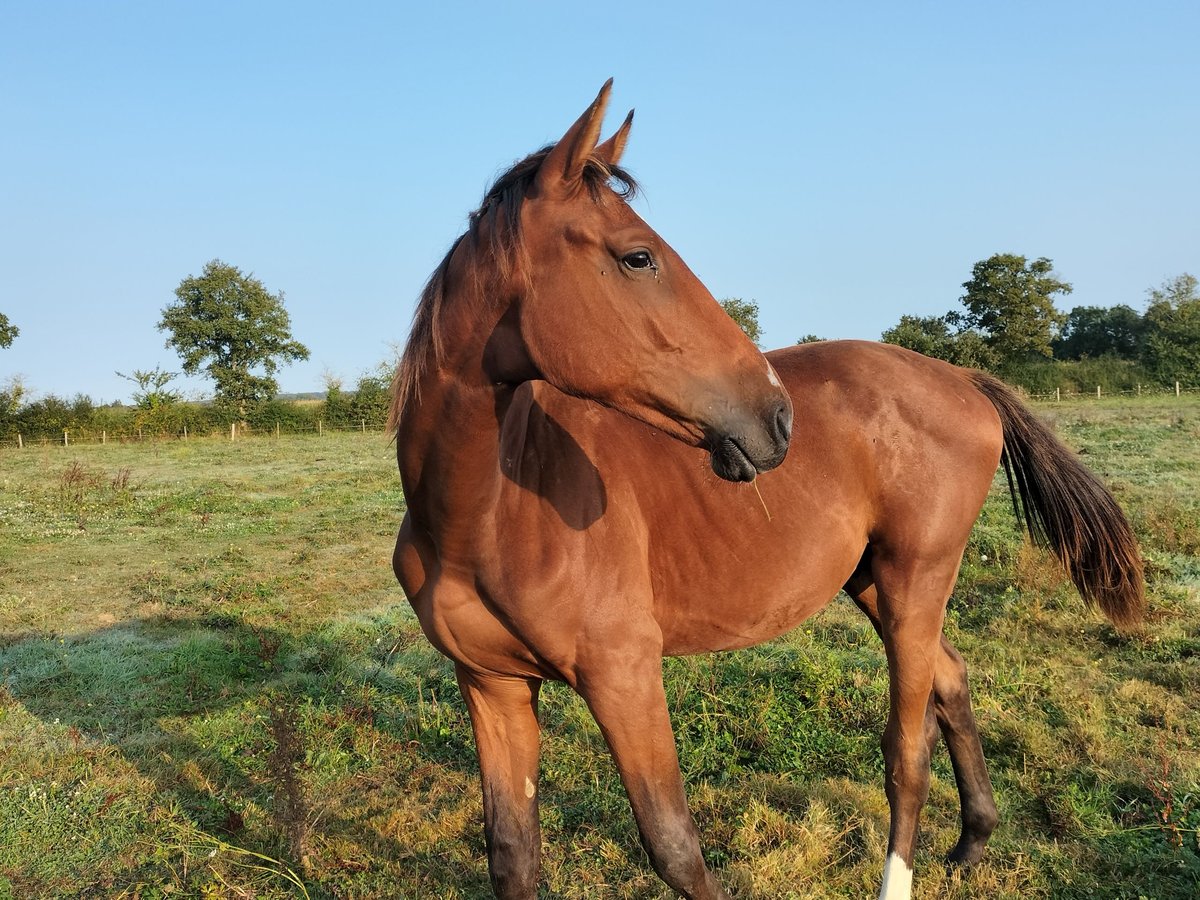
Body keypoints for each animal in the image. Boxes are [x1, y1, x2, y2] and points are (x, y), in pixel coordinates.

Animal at [391, 79, 1142, 900]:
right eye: (638, 257)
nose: (777, 417)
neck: (488, 515)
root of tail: (964, 379)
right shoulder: (491, 686)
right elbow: (513, 854)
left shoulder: (624, 679)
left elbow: (675, 847)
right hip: (873, 582)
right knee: (951, 680)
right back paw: (973, 841)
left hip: (916, 581)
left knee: (906, 754)